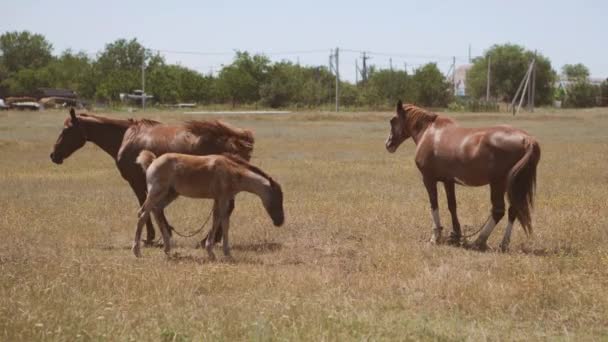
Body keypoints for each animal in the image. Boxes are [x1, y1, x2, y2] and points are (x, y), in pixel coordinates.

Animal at [48, 108, 254, 244]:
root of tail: (236, 137)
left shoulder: (137, 182)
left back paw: (208, 240)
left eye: (66, 130)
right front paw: (165, 232)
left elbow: (145, 205)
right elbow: (156, 207)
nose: (54, 155)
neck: (126, 137)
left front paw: (151, 236)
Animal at [132, 150, 284, 260]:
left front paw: (219, 252)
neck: (232, 171)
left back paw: (167, 248)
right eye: (277, 198)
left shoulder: (219, 199)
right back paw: (137, 251)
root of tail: (153, 162)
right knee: (142, 214)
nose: (280, 221)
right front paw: (218, 253)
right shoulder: (222, 198)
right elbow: (221, 221)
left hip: (170, 194)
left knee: (156, 210)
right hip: (156, 192)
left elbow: (220, 221)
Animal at [388, 101, 540, 251]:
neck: (430, 133)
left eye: (393, 120)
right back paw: (503, 244)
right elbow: (452, 206)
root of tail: (527, 139)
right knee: (513, 210)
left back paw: (479, 241)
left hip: (498, 184)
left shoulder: (428, 179)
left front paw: (435, 237)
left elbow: (434, 205)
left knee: (498, 211)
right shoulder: (448, 181)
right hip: (515, 185)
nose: (388, 144)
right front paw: (455, 235)